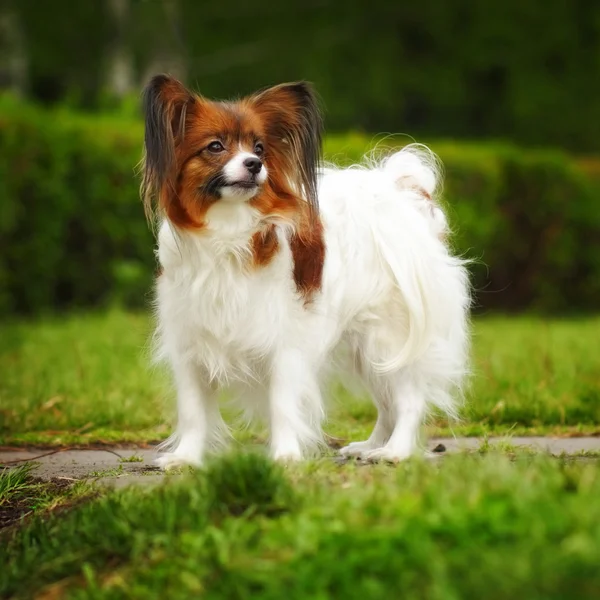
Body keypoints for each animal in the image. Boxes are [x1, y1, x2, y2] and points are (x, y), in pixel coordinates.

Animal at [139, 75, 468, 468]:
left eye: (260, 148)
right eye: (215, 147)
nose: (254, 164)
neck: (228, 233)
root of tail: (404, 198)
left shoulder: (285, 340)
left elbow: (282, 403)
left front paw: (285, 456)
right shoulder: (190, 340)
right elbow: (192, 410)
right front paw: (185, 459)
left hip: (388, 337)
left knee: (408, 398)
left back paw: (394, 451)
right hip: (364, 346)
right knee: (387, 400)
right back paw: (370, 446)